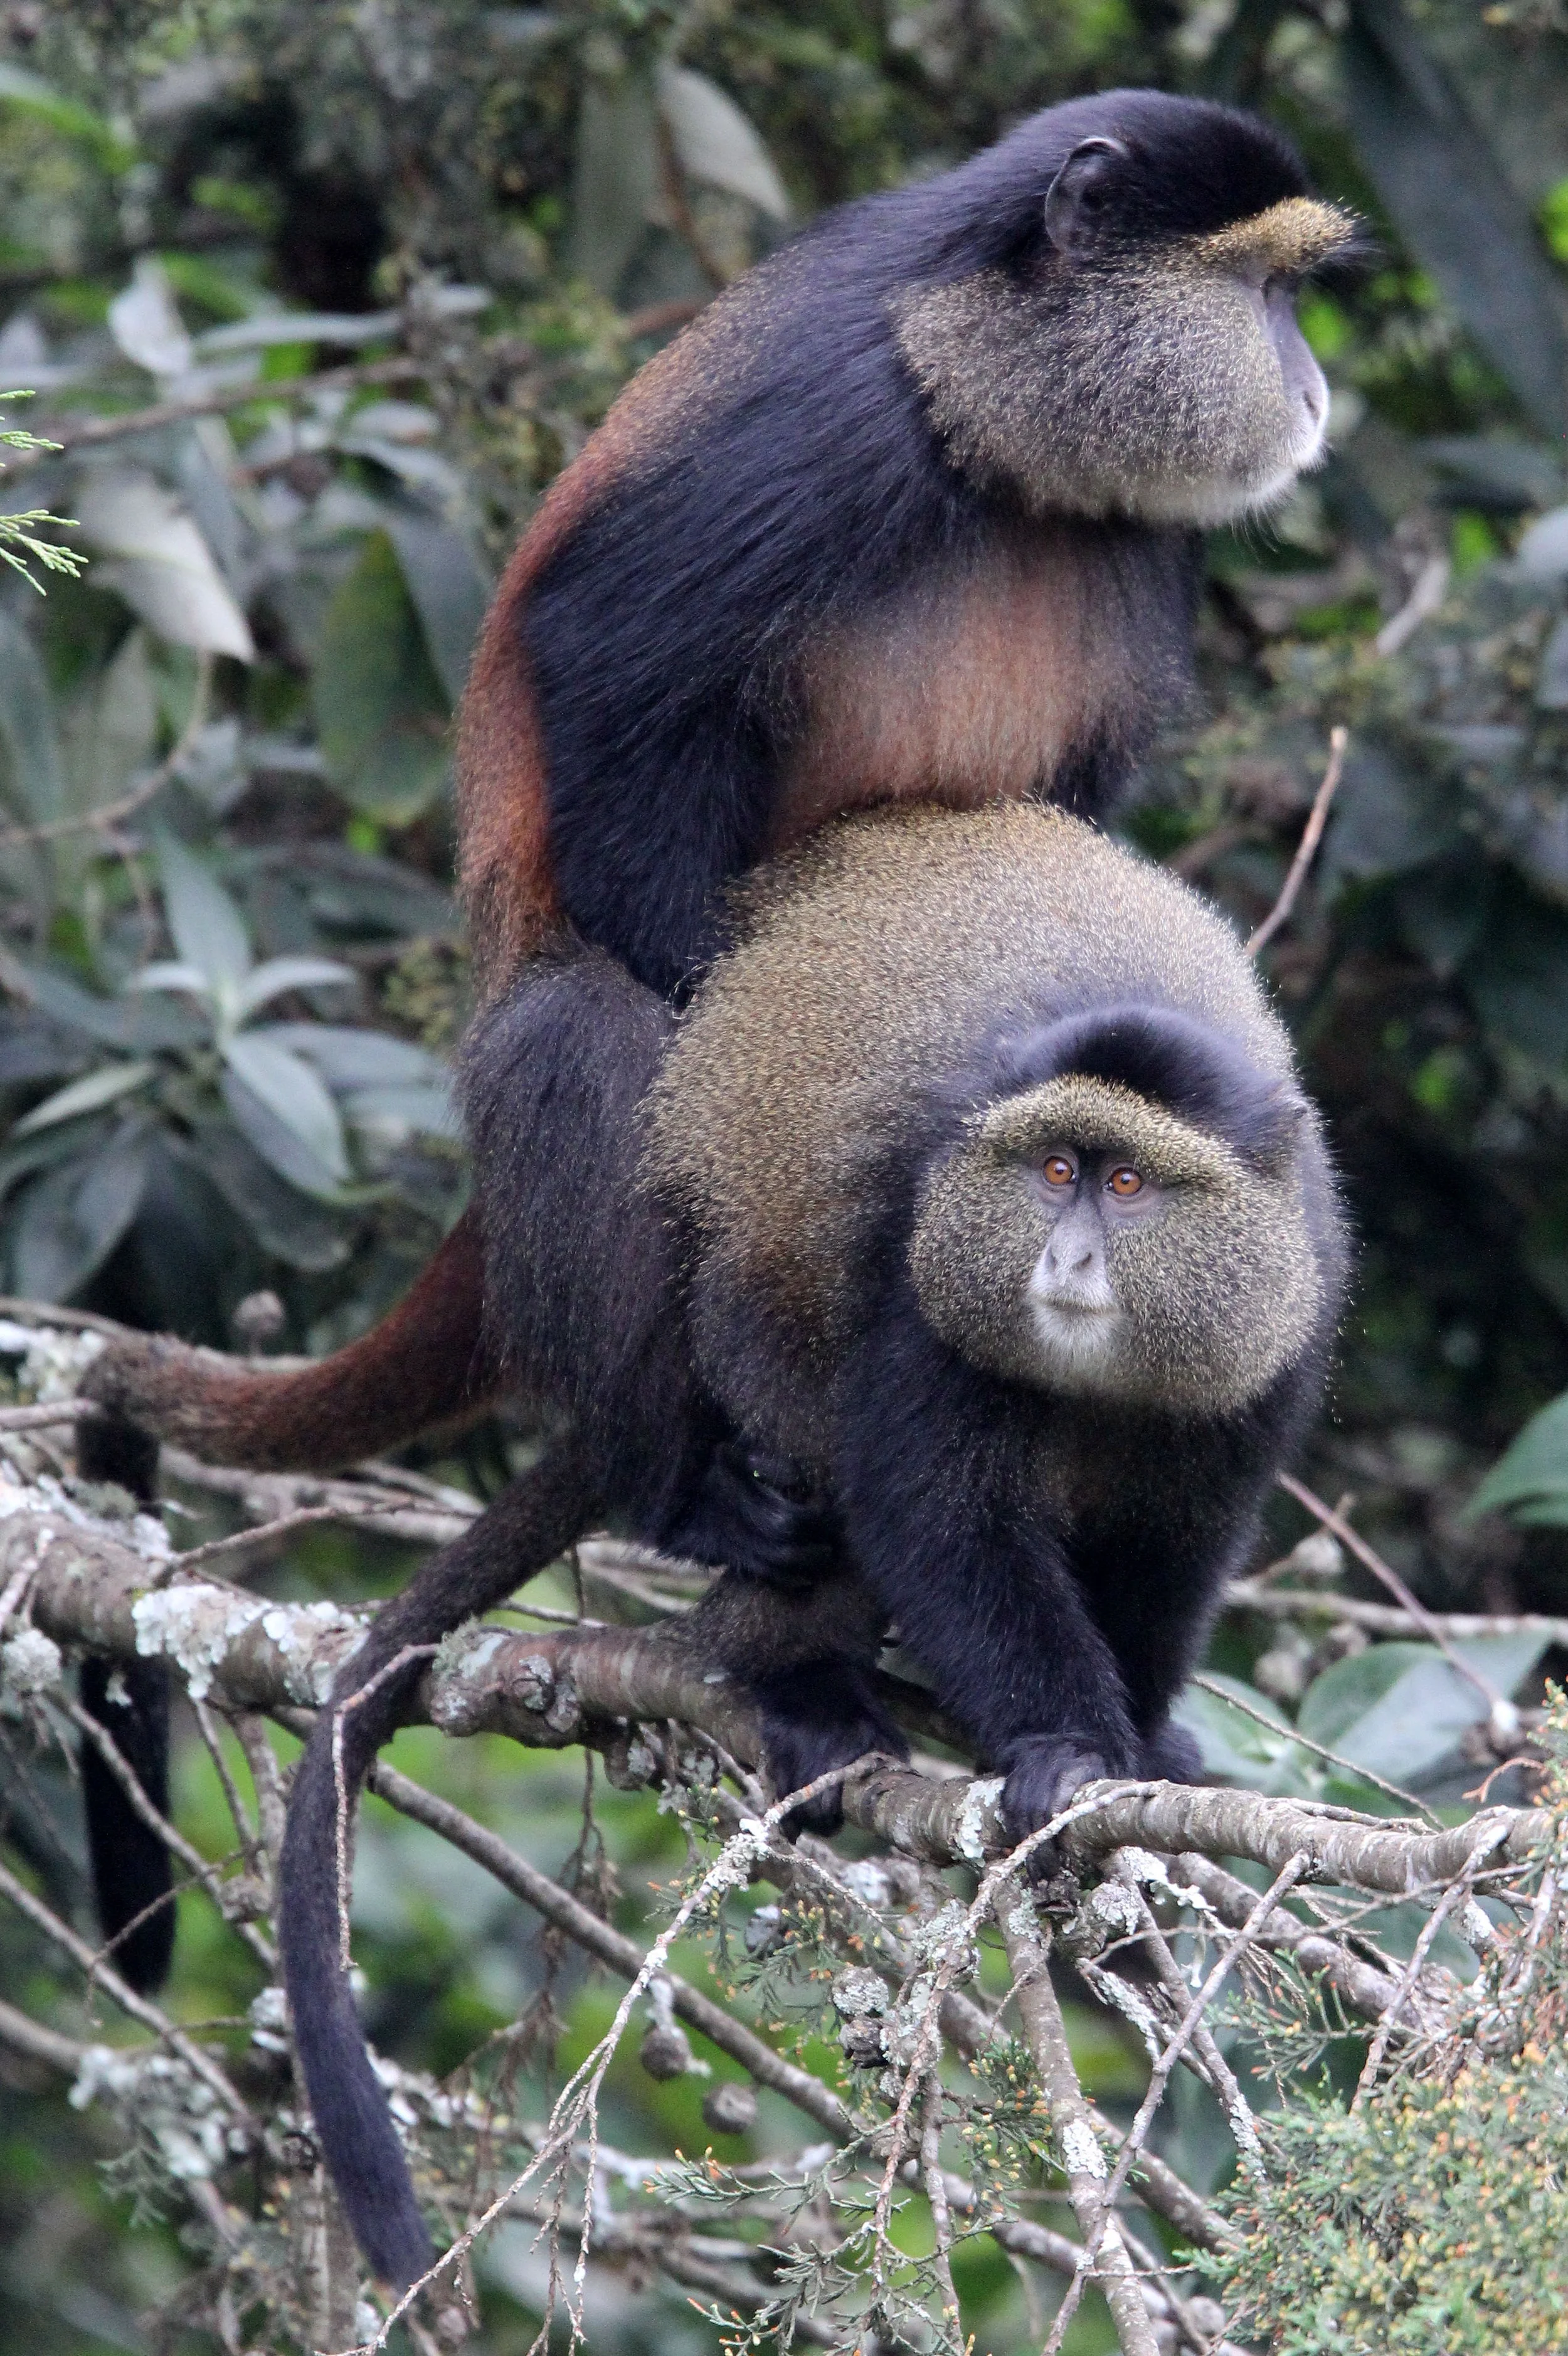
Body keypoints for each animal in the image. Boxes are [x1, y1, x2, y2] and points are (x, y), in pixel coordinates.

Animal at [264, 799, 1346, 2290]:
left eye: (1128, 1184)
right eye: (1052, 1171)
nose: (1064, 1263)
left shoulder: (1281, 1328)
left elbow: (1176, 1551)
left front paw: (1138, 1748)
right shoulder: (916, 1248)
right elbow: (937, 1513)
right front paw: (1064, 1754)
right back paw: (794, 1675)